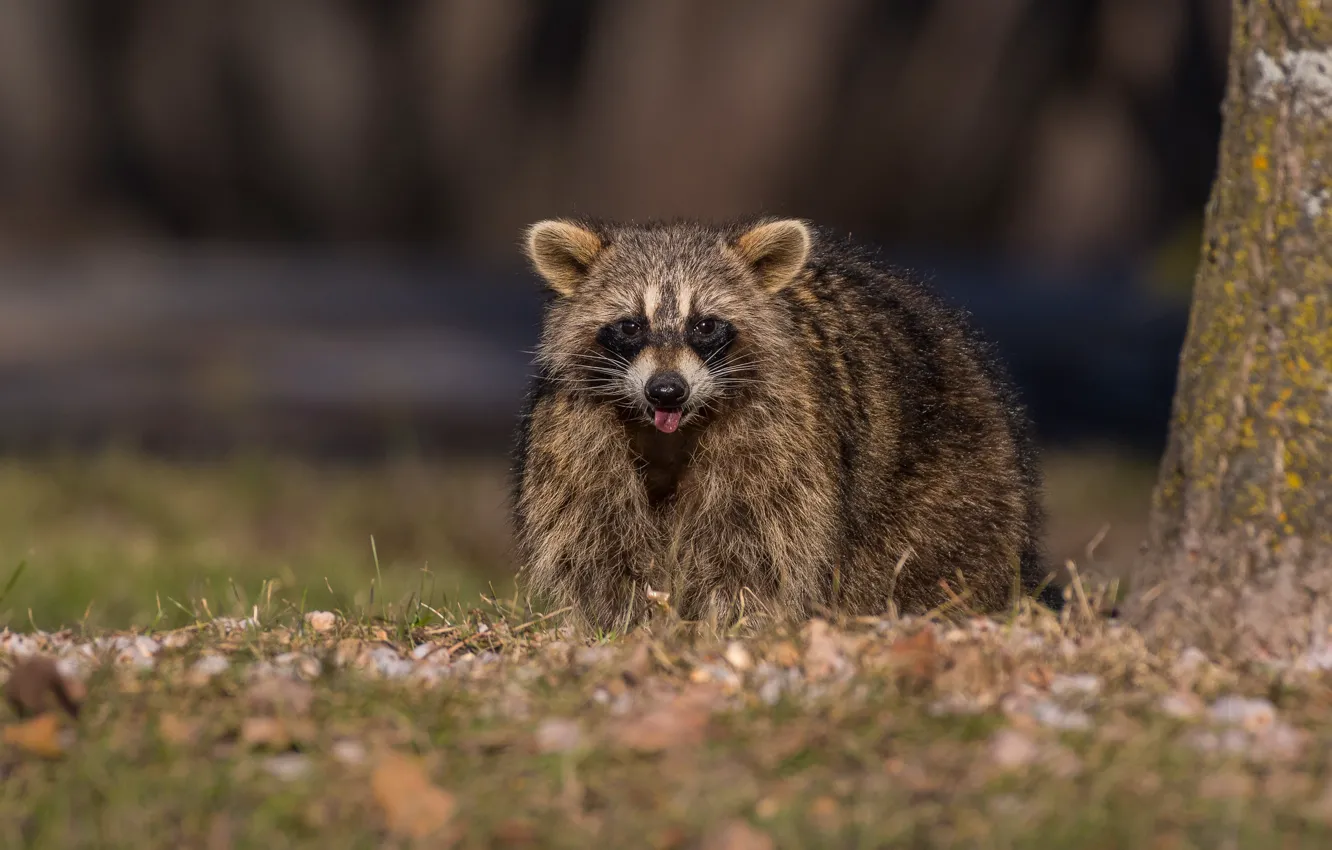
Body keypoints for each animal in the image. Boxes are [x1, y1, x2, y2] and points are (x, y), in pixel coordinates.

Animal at [511, 217, 1063, 632]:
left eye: (705, 325)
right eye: (630, 325)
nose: (666, 389)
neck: (674, 429)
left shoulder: (780, 435)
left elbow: (754, 544)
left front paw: (727, 623)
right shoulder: (575, 436)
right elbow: (597, 538)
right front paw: (626, 625)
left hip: (958, 484)